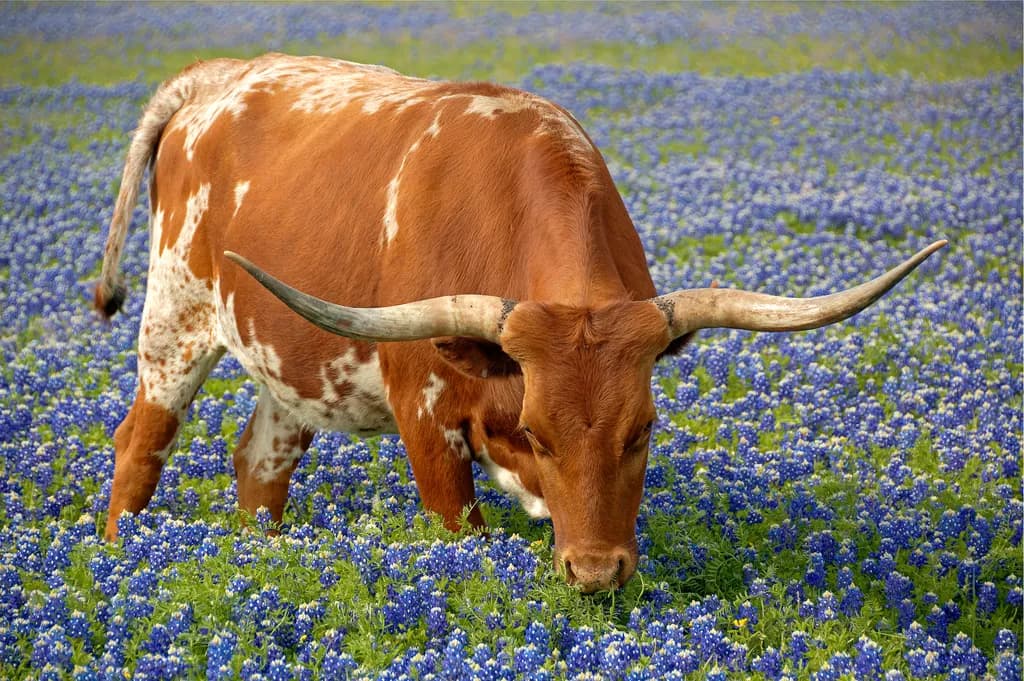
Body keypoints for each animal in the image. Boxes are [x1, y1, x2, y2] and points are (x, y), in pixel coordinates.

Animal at [94, 53, 945, 592]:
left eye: (644, 428)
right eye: (537, 429)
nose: (597, 572)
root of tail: (218, 77)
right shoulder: (425, 417)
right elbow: (463, 535)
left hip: (293, 364)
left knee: (260, 465)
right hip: (173, 322)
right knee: (139, 447)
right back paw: (114, 557)